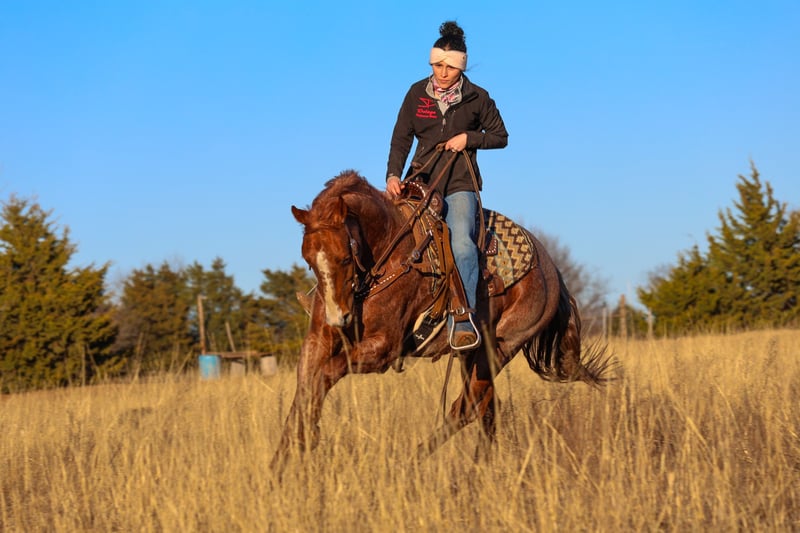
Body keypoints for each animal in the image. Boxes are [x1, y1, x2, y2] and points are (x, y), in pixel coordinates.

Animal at [272, 169, 613, 471]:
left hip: (498, 350)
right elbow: (304, 386)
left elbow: (325, 375)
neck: (389, 252)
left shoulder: (383, 349)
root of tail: (552, 270)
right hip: (472, 356)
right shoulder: (319, 339)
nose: (338, 316)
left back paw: (413, 464)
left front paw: (307, 436)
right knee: (486, 409)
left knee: (466, 408)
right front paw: (282, 459)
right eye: (308, 260)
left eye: (344, 257)